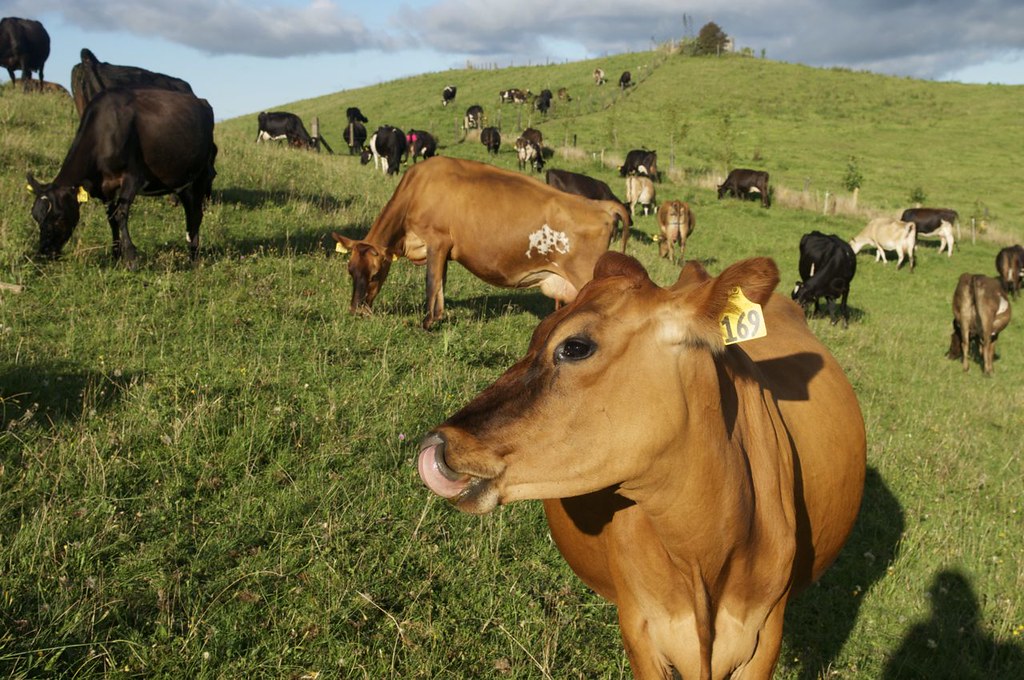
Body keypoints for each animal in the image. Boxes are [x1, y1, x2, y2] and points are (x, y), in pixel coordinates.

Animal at [27, 89, 217, 268]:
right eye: (35, 216)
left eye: (59, 217)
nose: (44, 252)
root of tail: (202, 102)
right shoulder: (105, 188)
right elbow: (111, 219)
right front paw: (115, 255)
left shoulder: (132, 177)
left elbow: (121, 214)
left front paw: (131, 257)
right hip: (182, 181)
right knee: (190, 212)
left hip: (202, 175)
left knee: (197, 213)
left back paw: (194, 256)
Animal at [331, 157, 626, 331]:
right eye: (350, 272)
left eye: (375, 274)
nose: (357, 310)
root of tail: (602, 206)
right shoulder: (444, 250)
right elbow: (440, 284)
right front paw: (439, 318)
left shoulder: (437, 240)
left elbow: (431, 283)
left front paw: (426, 323)